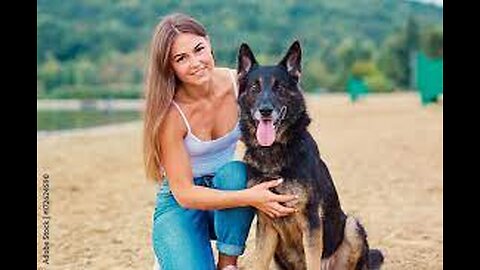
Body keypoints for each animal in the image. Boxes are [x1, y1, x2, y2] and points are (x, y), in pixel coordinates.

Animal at [235, 40, 382, 270]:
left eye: (279, 87)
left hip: (352, 226)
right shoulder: (266, 225)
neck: (275, 152)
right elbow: (258, 262)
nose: (265, 110)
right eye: (255, 87)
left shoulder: (311, 223)